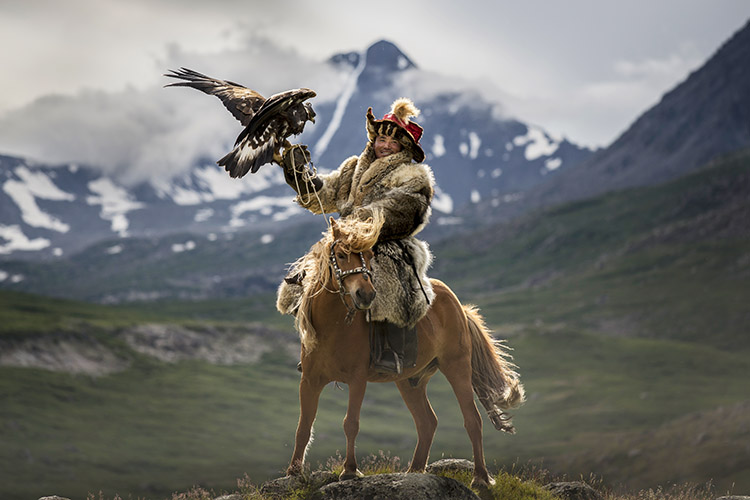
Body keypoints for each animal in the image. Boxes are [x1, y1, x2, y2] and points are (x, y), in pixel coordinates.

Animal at [288, 216, 528, 488]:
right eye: (340, 255)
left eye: (369, 256)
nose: (365, 294)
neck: (334, 326)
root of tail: (459, 306)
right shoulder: (310, 381)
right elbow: (303, 426)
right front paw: (293, 472)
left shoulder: (357, 380)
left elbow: (351, 423)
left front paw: (349, 470)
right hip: (410, 381)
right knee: (427, 422)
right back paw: (414, 471)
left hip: (456, 367)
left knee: (472, 420)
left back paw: (480, 478)